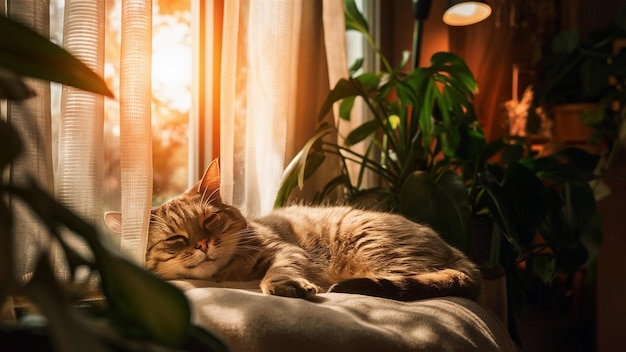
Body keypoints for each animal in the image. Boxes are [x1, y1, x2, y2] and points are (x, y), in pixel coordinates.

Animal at [105, 161, 480, 302]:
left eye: (210, 221)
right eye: (176, 239)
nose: (203, 243)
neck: (227, 274)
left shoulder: (284, 250)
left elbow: (279, 271)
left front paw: (285, 285)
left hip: (376, 248)